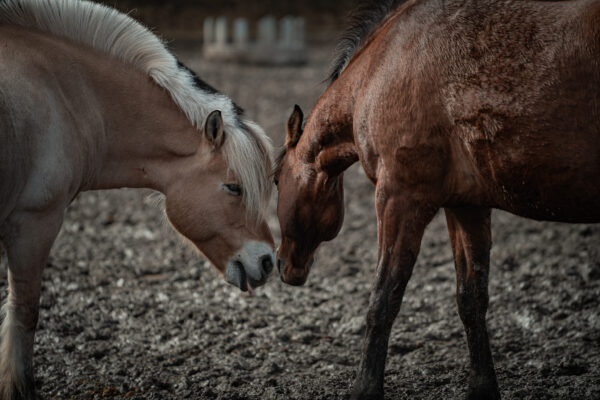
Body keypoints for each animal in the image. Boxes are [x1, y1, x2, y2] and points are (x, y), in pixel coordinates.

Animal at [274, 0, 596, 398]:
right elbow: (471, 298)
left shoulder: (400, 198)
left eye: (275, 180)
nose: (282, 264)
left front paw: (365, 387)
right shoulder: (466, 206)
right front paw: (482, 387)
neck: (382, 65)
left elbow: (383, 299)